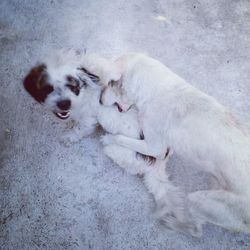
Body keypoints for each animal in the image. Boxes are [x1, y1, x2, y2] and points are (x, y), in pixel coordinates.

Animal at [23, 49, 191, 236]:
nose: (63, 103)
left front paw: (69, 136)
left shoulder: (88, 119)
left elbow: (80, 129)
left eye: (72, 86)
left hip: (114, 149)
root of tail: (159, 163)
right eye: (48, 88)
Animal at [99, 53, 250, 236]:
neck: (153, 89)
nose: (99, 100)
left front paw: (109, 139)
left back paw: (172, 223)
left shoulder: (155, 148)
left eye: (110, 83)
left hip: (199, 200)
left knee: (196, 230)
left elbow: (121, 138)